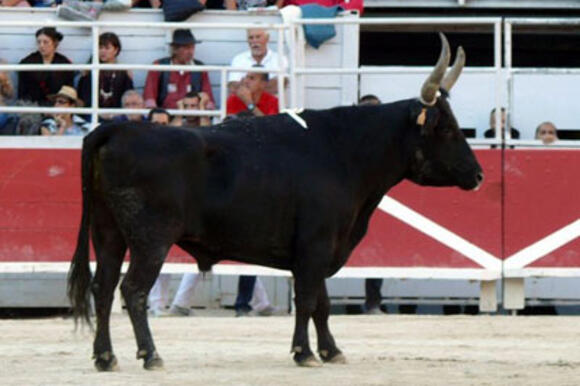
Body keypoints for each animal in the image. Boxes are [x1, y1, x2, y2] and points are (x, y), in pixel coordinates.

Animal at [68, 34, 484, 370]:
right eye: (446, 129)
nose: (478, 175)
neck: (345, 152)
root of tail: (117, 129)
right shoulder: (316, 244)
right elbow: (308, 299)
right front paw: (305, 353)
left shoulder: (321, 247)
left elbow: (322, 302)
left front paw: (331, 351)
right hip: (151, 239)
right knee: (133, 290)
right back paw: (151, 355)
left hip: (108, 233)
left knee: (102, 288)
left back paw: (105, 357)